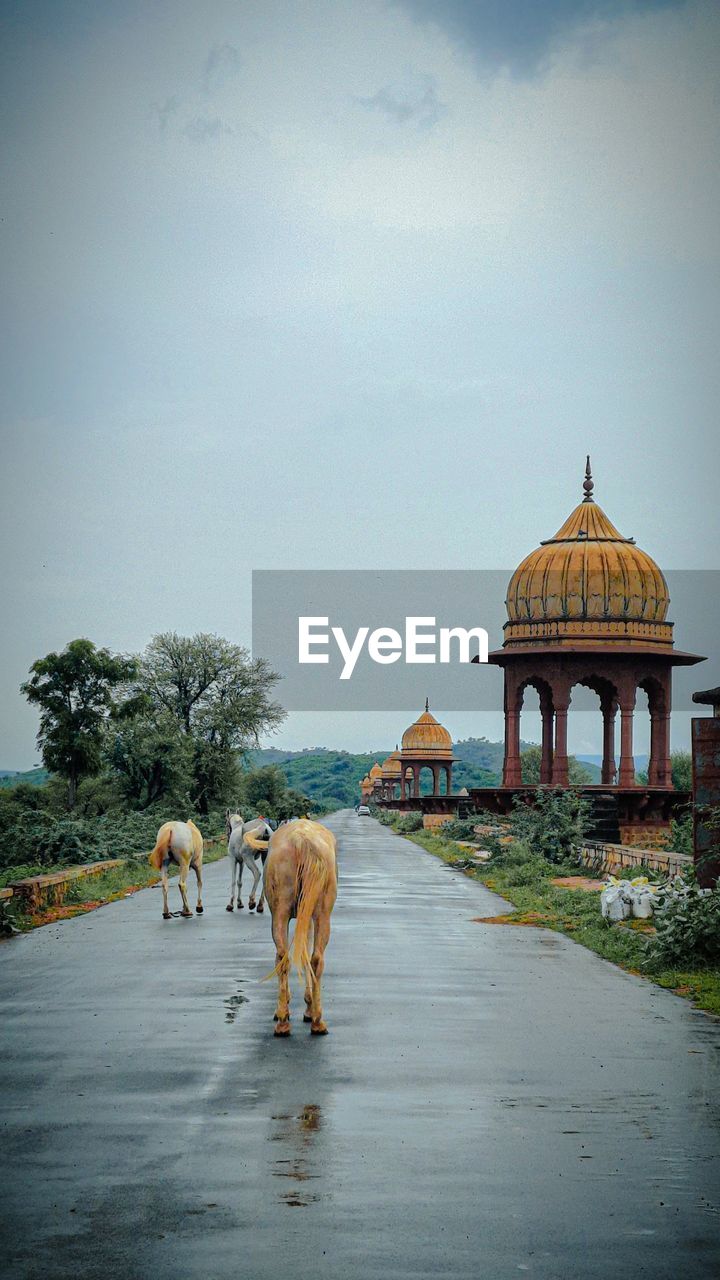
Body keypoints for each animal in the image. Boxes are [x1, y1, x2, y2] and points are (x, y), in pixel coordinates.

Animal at [243, 819, 335, 1039]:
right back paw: (314, 1021)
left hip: (281, 911)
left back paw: (285, 1020)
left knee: (284, 957)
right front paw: (308, 1008)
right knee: (313, 959)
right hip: (320, 913)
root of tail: (301, 840)